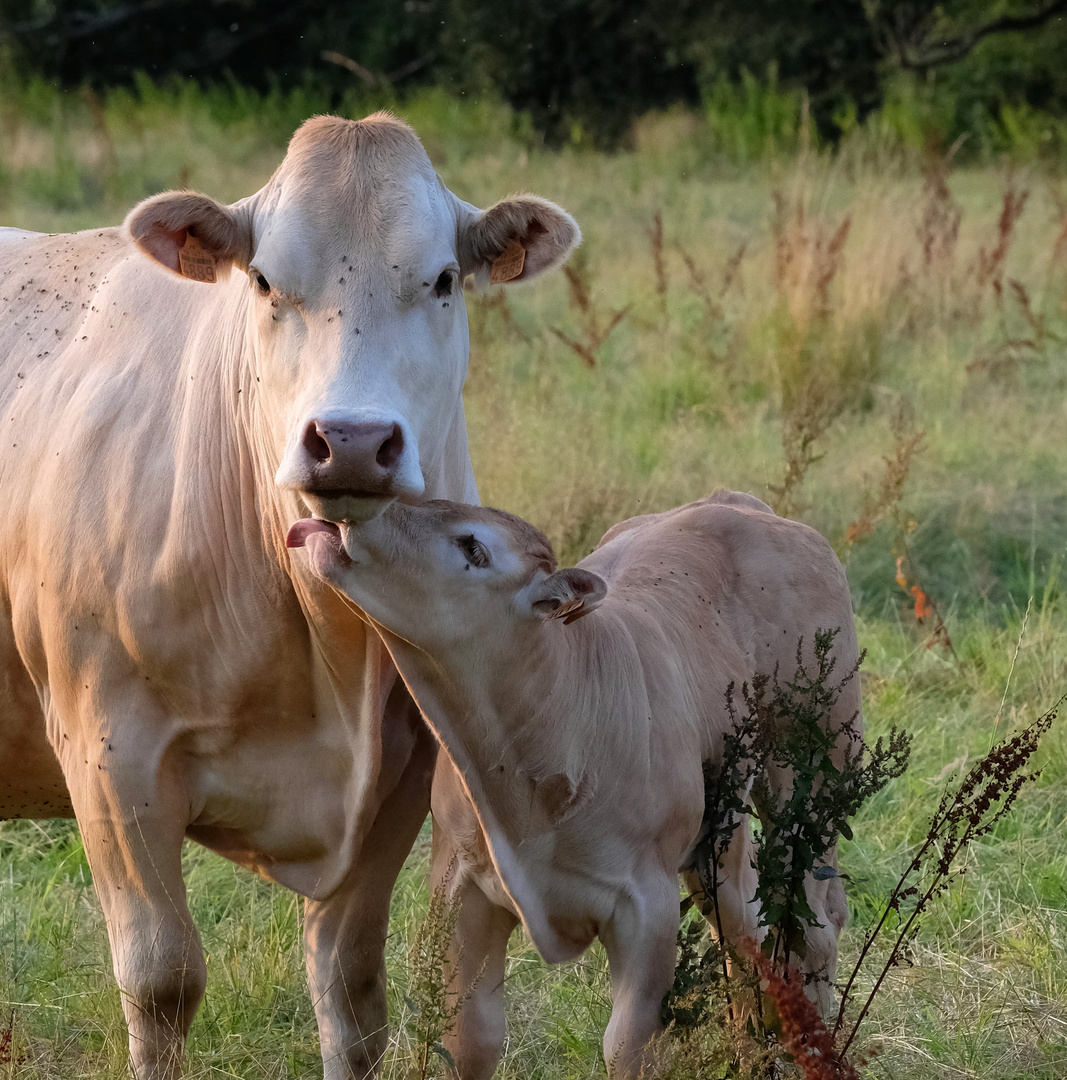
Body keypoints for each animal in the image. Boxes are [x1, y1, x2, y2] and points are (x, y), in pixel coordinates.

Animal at [0, 113, 578, 1075]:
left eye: (442, 279)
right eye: (266, 281)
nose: (351, 440)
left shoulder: (401, 764)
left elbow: (350, 992)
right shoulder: (109, 757)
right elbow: (161, 981)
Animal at [285, 492, 859, 1080]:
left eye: (473, 547)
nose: (345, 515)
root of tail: (734, 503)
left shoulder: (647, 906)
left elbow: (628, 1048)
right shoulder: (464, 888)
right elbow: (471, 1039)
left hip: (815, 772)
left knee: (810, 928)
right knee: (750, 943)